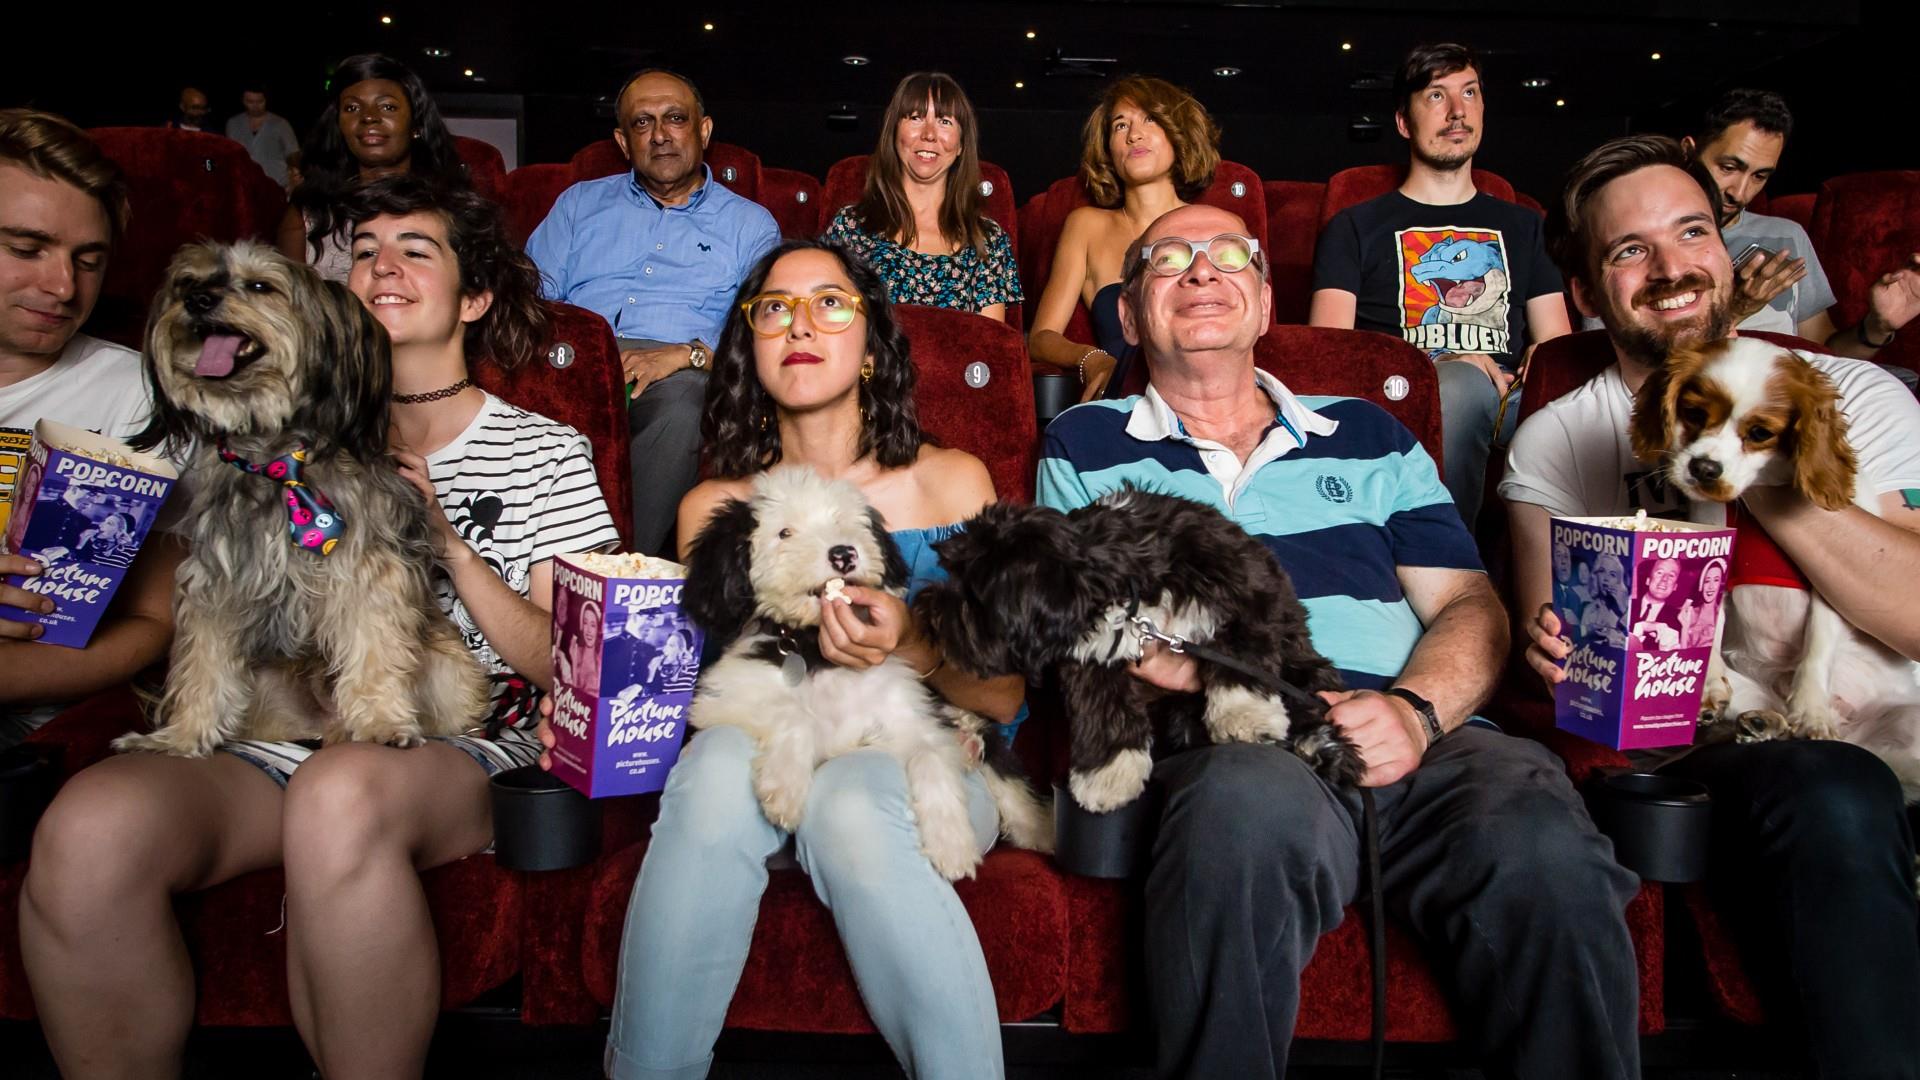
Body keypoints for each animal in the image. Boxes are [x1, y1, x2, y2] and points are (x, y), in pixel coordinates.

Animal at [112, 239, 487, 753]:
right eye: (187, 282)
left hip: (450, 673)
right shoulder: (216, 584)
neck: (277, 456)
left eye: (259, 286)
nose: (197, 301)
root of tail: (328, 726)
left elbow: (374, 649)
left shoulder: (368, 573)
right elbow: (203, 665)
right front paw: (181, 735)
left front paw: (382, 722)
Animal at [683, 461, 1059, 876]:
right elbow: (794, 713)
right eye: (784, 533)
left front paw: (952, 843)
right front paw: (784, 788)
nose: (844, 554)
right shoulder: (719, 700)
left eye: (843, 522)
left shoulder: (910, 719)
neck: (817, 652)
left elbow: (930, 757)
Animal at [913, 486, 1367, 807]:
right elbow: (1104, 713)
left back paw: (1321, 745)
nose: (929, 611)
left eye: (973, 597)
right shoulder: (1093, 656)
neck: (1125, 583)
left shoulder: (1249, 595)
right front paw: (1108, 775)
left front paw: (1244, 715)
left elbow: (1241, 659)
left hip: (1302, 666)